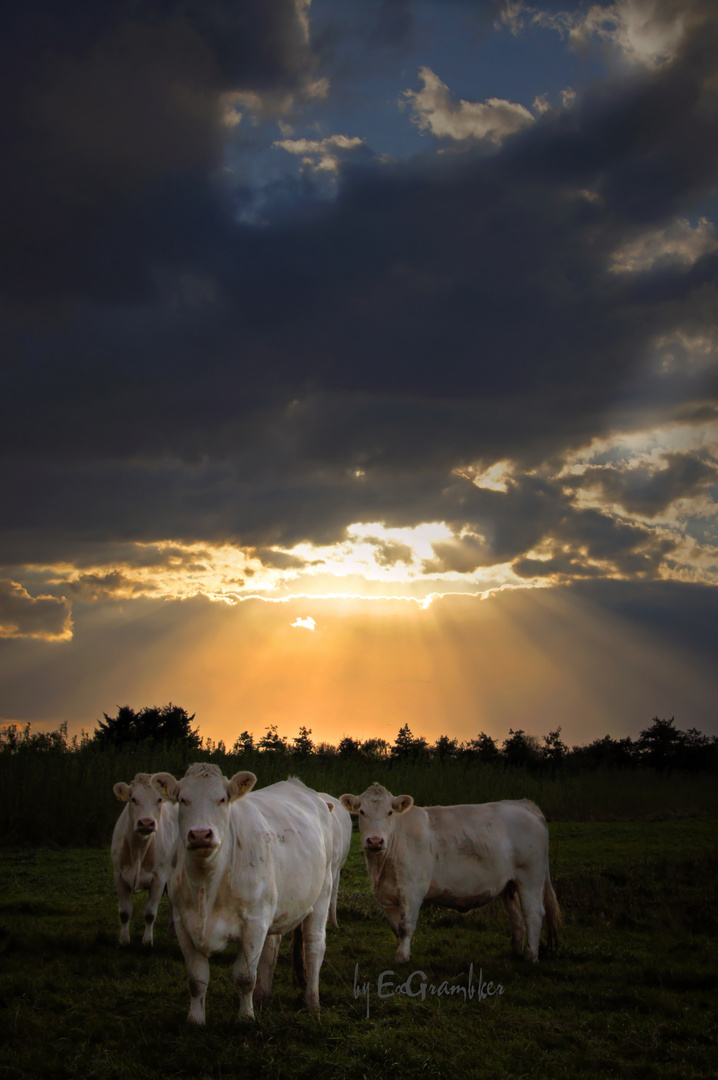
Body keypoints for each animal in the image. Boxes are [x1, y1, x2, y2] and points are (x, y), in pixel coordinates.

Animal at [112, 768, 180, 946]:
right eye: (133, 799)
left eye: (159, 799)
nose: (147, 823)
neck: (138, 850)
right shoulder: (119, 875)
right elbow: (124, 912)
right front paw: (124, 939)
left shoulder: (159, 877)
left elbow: (150, 913)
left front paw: (147, 941)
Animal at [150, 764, 334, 1023]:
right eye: (183, 800)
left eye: (222, 799)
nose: (200, 834)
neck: (206, 884)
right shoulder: (183, 923)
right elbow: (196, 979)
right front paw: (195, 1020)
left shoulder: (254, 922)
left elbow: (245, 976)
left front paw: (245, 1018)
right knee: (271, 946)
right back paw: (263, 997)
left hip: (322, 893)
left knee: (314, 945)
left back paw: (312, 1001)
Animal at [341, 781, 561, 967]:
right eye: (361, 811)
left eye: (389, 812)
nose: (375, 841)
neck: (383, 866)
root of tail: (523, 804)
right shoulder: (387, 896)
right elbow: (396, 928)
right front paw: (403, 954)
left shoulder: (413, 891)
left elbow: (405, 926)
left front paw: (402, 958)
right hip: (509, 885)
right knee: (517, 918)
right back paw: (515, 953)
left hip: (531, 878)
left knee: (533, 913)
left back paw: (530, 957)